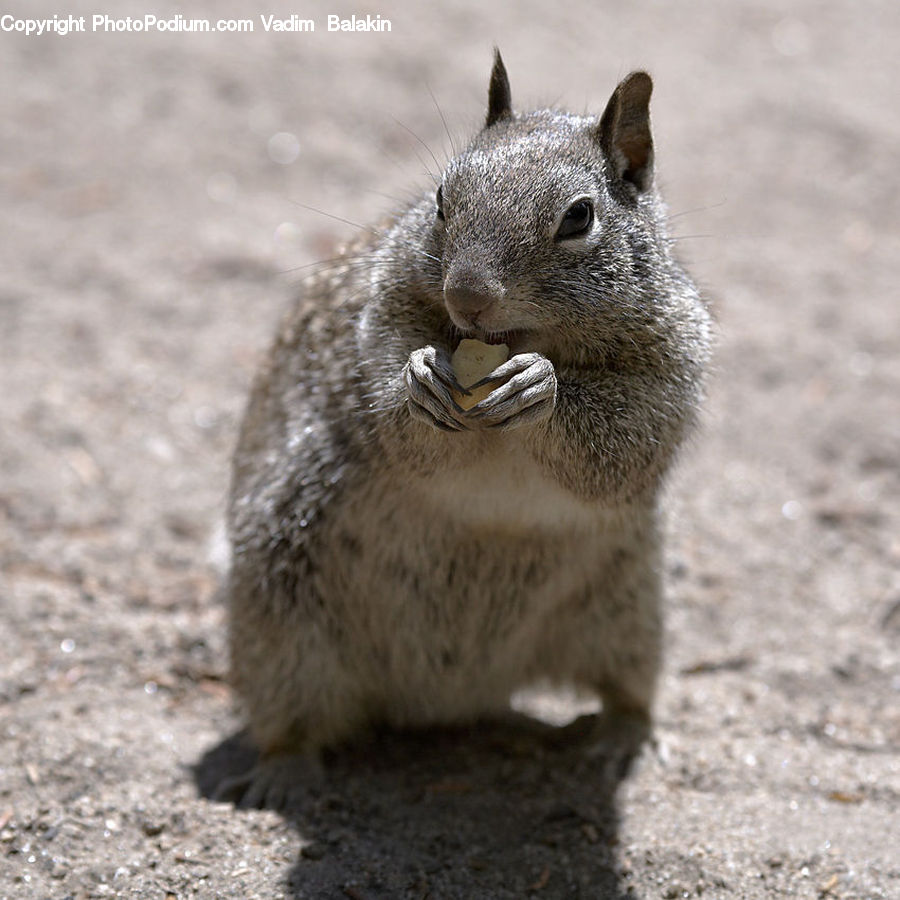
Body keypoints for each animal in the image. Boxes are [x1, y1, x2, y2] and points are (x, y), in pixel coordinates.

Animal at [218, 51, 713, 808]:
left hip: (629, 609)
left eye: (579, 217)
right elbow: (398, 416)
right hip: (280, 609)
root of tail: (447, 697)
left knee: (624, 686)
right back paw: (285, 770)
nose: (467, 297)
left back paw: (622, 738)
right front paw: (420, 377)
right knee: (293, 712)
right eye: (443, 197)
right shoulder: (381, 317)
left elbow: (622, 450)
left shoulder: (666, 374)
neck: (519, 339)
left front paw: (541, 389)